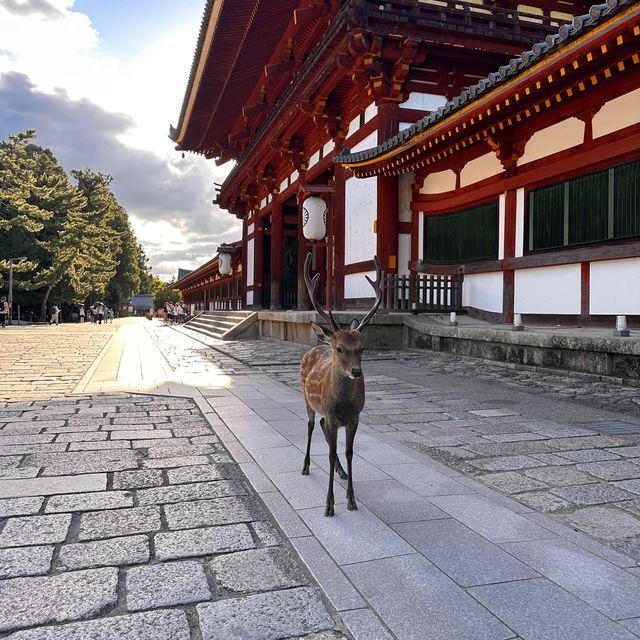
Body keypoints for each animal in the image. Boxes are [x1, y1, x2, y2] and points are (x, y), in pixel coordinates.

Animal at [298, 252, 382, 516]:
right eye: (340, 348)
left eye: (362, 347)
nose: (356, 371)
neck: (342, 405)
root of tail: (316, 345)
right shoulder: (332, 415)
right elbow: (331, 453)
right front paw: (329, 504)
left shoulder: (354, 418)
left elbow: (348, 452)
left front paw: (351, 499)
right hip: (307, 399)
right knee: (311, 426)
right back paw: (305, 466)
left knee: (323, 428)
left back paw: (341, 472)